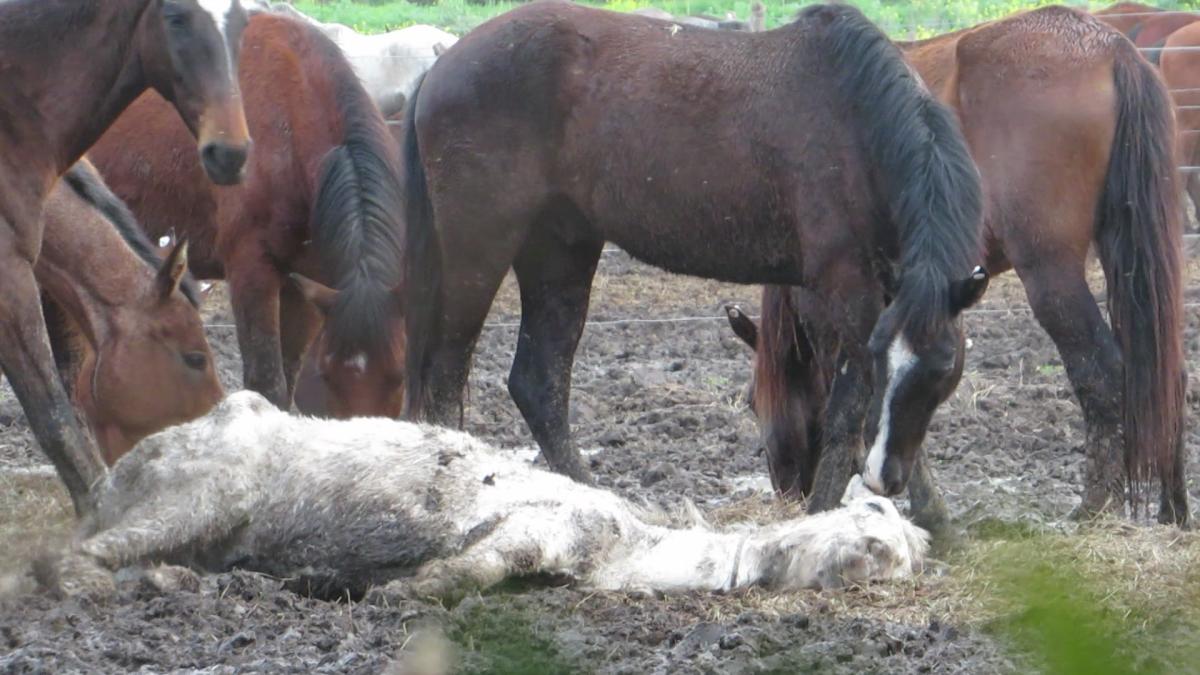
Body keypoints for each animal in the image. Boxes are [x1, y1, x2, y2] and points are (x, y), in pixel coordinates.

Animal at [402, 1, 988, 516]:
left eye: (944, 369)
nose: (885, 479)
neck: (860, 125)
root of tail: (439, 68)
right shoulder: (841, 289)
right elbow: (849, 410)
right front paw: (825, 515)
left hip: (559, 251)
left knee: (538, 383)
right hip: (479, 248)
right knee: (446, 378)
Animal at [727, 6, 1188, 527]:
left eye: (752, 402)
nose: (789, 490)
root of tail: (1113, 48)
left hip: (1051, 273)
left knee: (1103, 370)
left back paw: (1094, 507)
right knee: (1166, 372)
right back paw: (1174, 510)